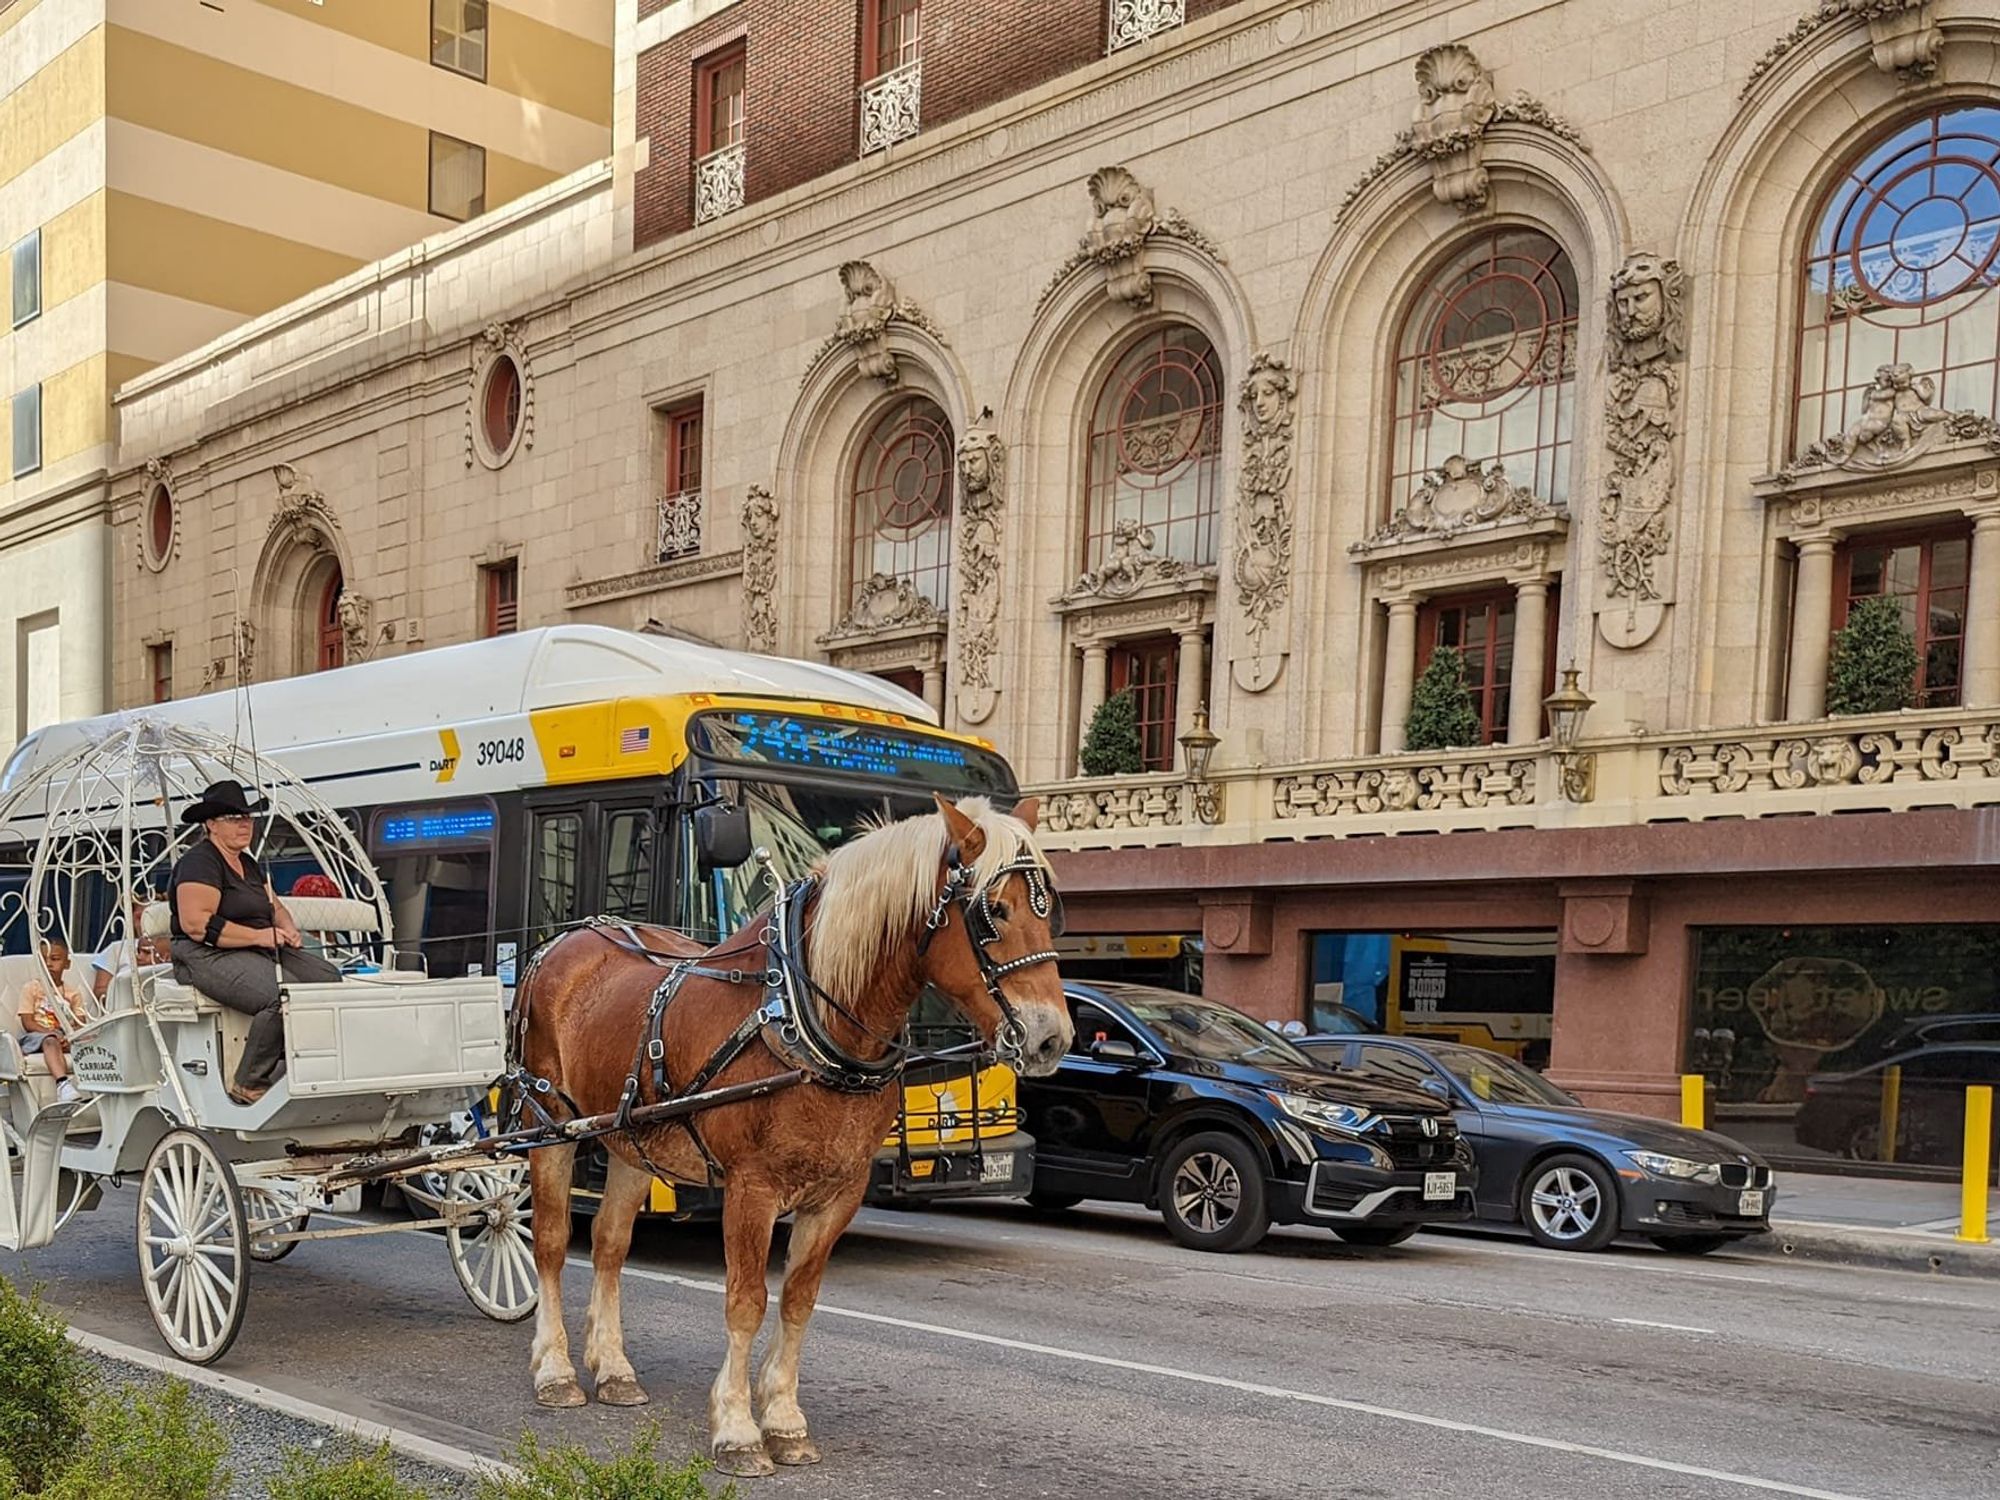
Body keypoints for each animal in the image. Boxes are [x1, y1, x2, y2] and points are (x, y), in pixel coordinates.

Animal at [511, 794, 1072, 1477]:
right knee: (551, 1243)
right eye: (995, 911)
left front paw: (782, 1418)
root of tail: (568, 939)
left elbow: (799, 1300)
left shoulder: (838, 1194)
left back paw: (614, 1368)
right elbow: (746, 1301)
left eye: (1052, 912)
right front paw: (737, 1429)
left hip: (630, 1143)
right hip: (548, 1126)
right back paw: (556, 1369)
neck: (809, 1021)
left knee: (610, 1247)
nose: (1052, 1038)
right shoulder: (751, 1190)